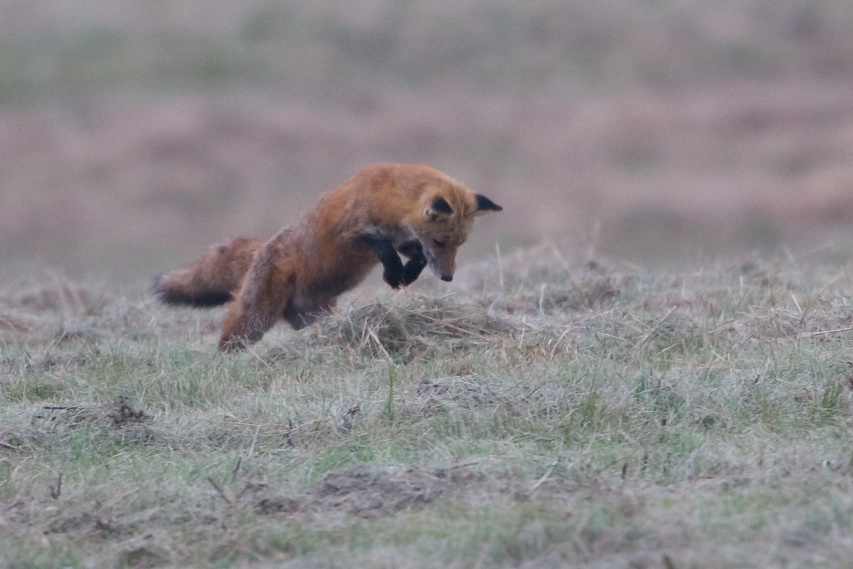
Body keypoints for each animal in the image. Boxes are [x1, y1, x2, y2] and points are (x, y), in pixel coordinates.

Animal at [153, 162, 502, 351]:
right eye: (441, 241)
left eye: (460, 244)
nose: (448, 277)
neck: (389, 198)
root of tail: (262, 248)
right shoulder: (349, 235)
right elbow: (382, 246)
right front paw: (393, 274)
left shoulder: (406, 239)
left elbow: (414, 256)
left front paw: (403, 276)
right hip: (256, 318)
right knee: (230, 340)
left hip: (314, 313)